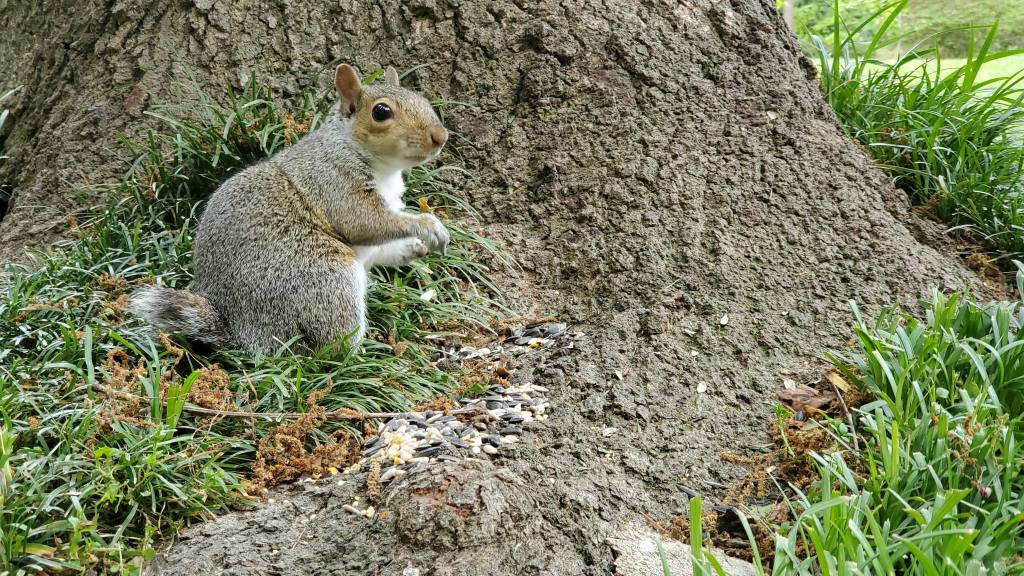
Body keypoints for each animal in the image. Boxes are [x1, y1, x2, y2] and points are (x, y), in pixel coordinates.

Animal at [128, 61, 448, 350]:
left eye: (422, 99)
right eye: (382, 112)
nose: (441, 137)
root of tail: (242, 328)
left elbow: (381, 247)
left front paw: (414, 248)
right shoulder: (334, 181)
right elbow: (366, 223)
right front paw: (428, 225)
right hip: (324, 278)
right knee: (329, 348)